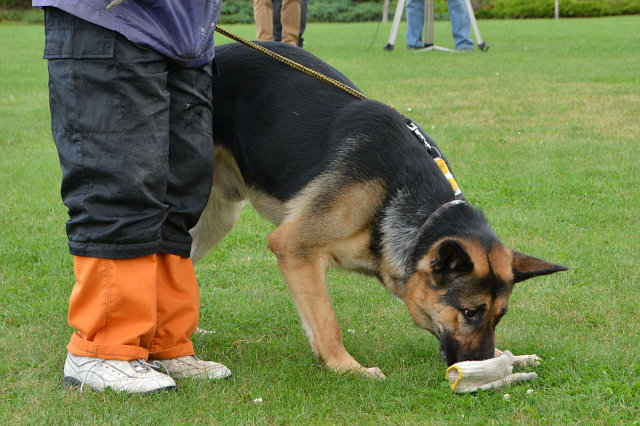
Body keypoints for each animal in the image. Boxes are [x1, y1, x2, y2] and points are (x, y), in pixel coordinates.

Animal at [190, 41, 564, 378]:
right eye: (470, 312)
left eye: (498, 317)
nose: (484, 364)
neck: (397, 191)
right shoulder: (295, 248)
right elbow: (326, 321)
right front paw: (348, 368)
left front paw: (511, 356)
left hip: (216, 218)